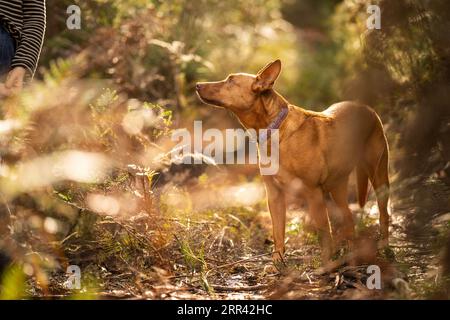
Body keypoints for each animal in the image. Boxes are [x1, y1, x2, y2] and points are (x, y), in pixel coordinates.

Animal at [195, 60, 388, 264]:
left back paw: (384, 246)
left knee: (384, 214)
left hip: (379, 177)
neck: (275, 130)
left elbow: (324, 232)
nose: (197, 85)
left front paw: (326, 264)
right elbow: (278, 233)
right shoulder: (274, 195)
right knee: (349, 219)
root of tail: (368, 108)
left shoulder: (314, 193)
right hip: (338, 186)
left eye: (230, 81)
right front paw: (276, 263)